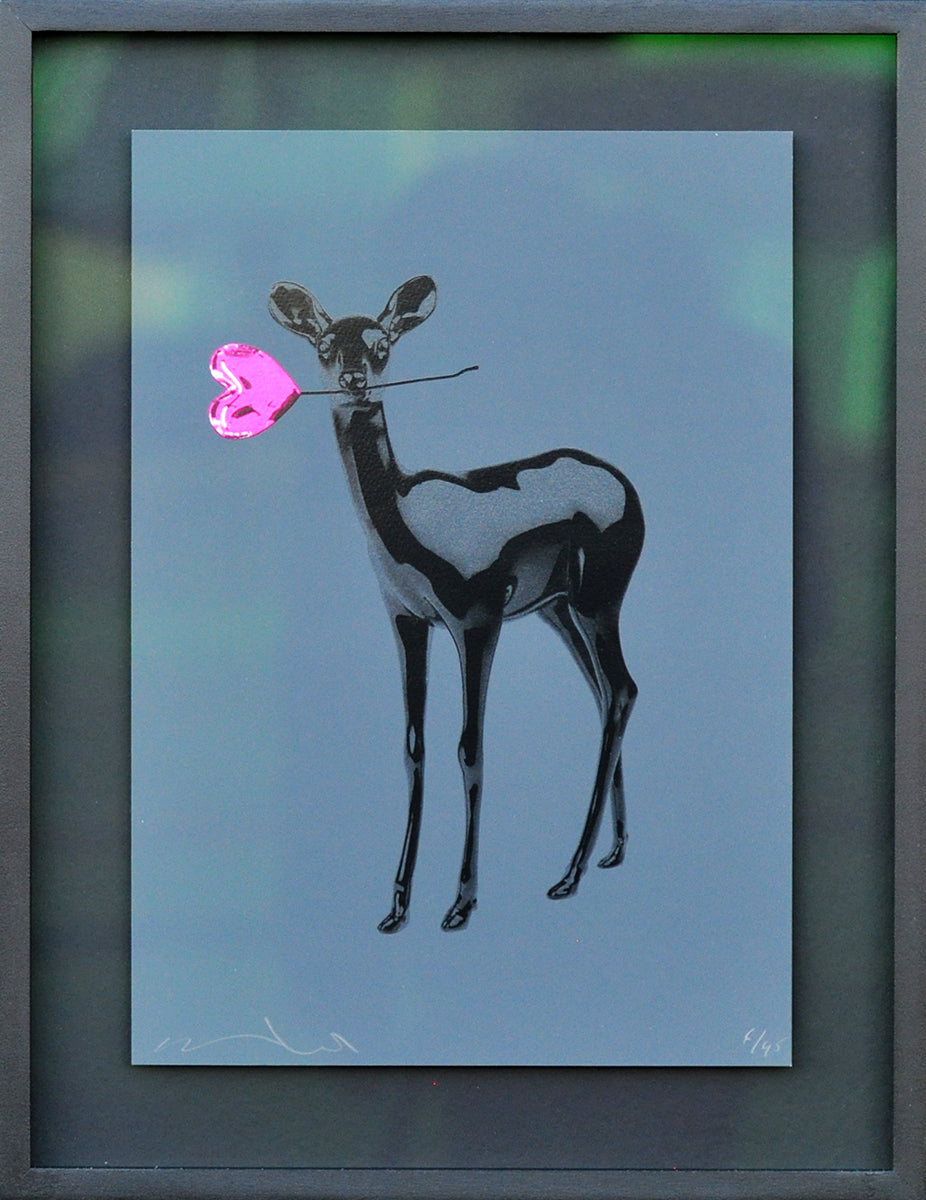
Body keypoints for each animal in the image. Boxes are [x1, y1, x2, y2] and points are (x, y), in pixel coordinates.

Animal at [214, 275, 644, 932]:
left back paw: (568, 875)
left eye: (383, 344)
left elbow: (470, 747)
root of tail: (626, 484)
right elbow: (413, 748)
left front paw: (460, 903)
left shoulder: (476, 618)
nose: (355, 381)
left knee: (622, 689)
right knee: (603, 694)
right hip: (559, 610)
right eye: (324, 345)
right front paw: (396, 906)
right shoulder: (406, 619)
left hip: (599, 601)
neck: (408, 516)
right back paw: (610, 853)